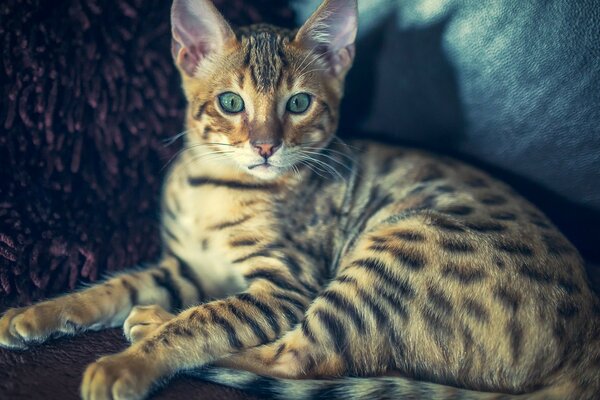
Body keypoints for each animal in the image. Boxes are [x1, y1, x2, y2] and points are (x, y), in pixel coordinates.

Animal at [1, 0, 600, 398]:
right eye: (230, 102)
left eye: (298, 103)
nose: (266, 146)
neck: (213, 188)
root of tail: (586, 345)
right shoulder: (187, 266)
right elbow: (114, 286)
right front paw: (37, 312)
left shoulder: (286, 285)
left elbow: (209, 320)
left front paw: (128, 364)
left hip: (391, 250)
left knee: (304, 357)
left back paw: (150, 324)